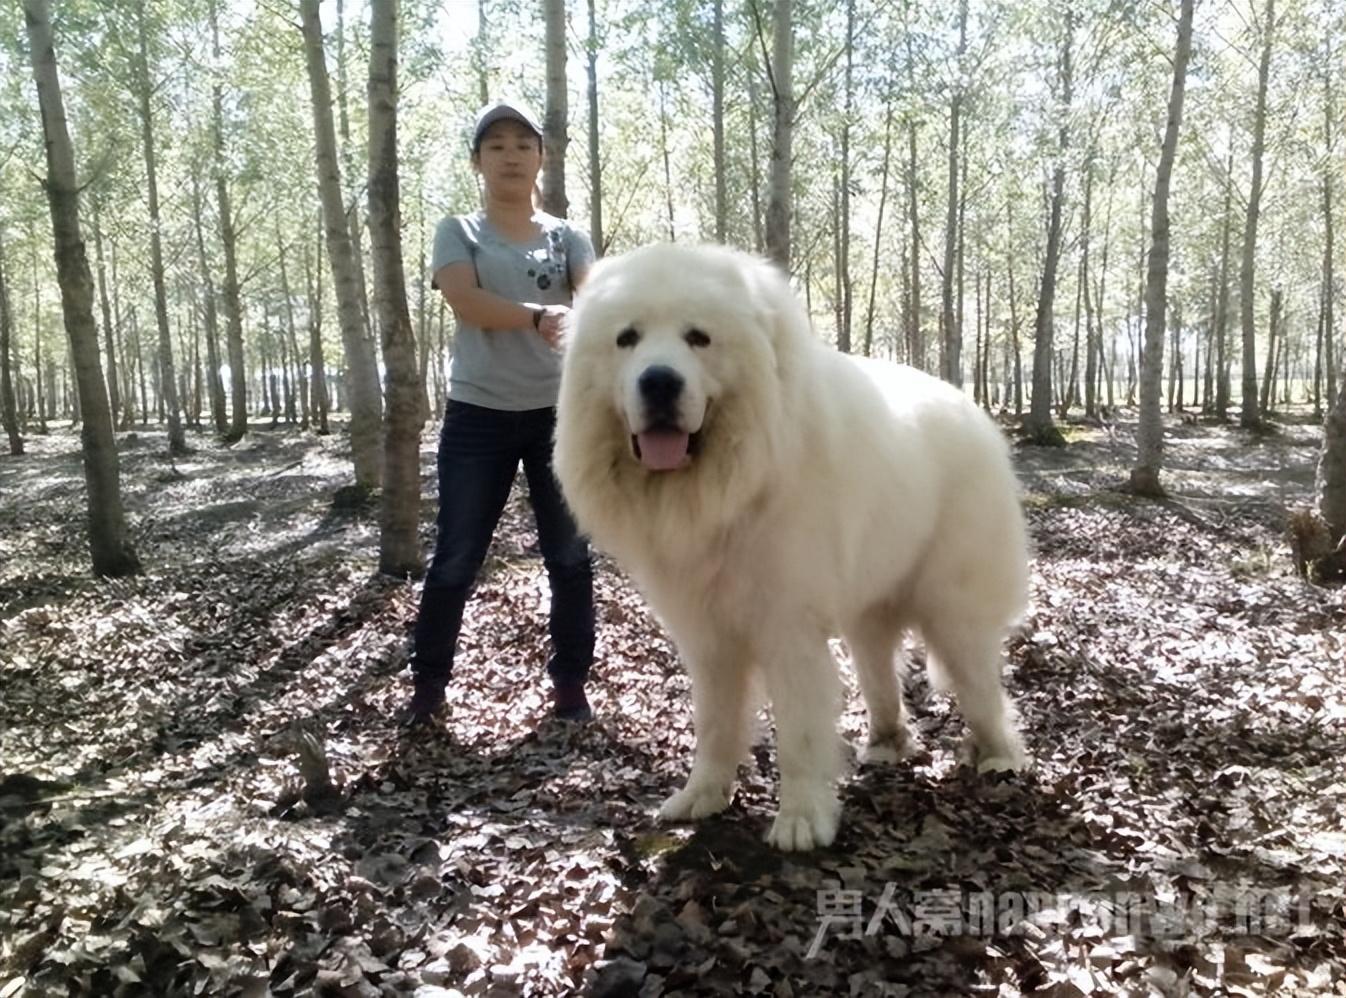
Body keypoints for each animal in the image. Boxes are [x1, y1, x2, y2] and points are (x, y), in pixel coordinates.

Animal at [551, 241, 1022, 851]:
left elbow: (798, 729)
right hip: (869, 607)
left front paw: (800, 819)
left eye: (698, 337)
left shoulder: (787, 626)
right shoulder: (709, 634)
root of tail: (973, 411)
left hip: (952, 607)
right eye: (626, 338)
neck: (733, 487)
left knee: (979, 682)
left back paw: (1001, 758)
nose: (658, 383)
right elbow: (715, 722)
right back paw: (887, 743)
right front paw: (702, 796)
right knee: (880, 672)